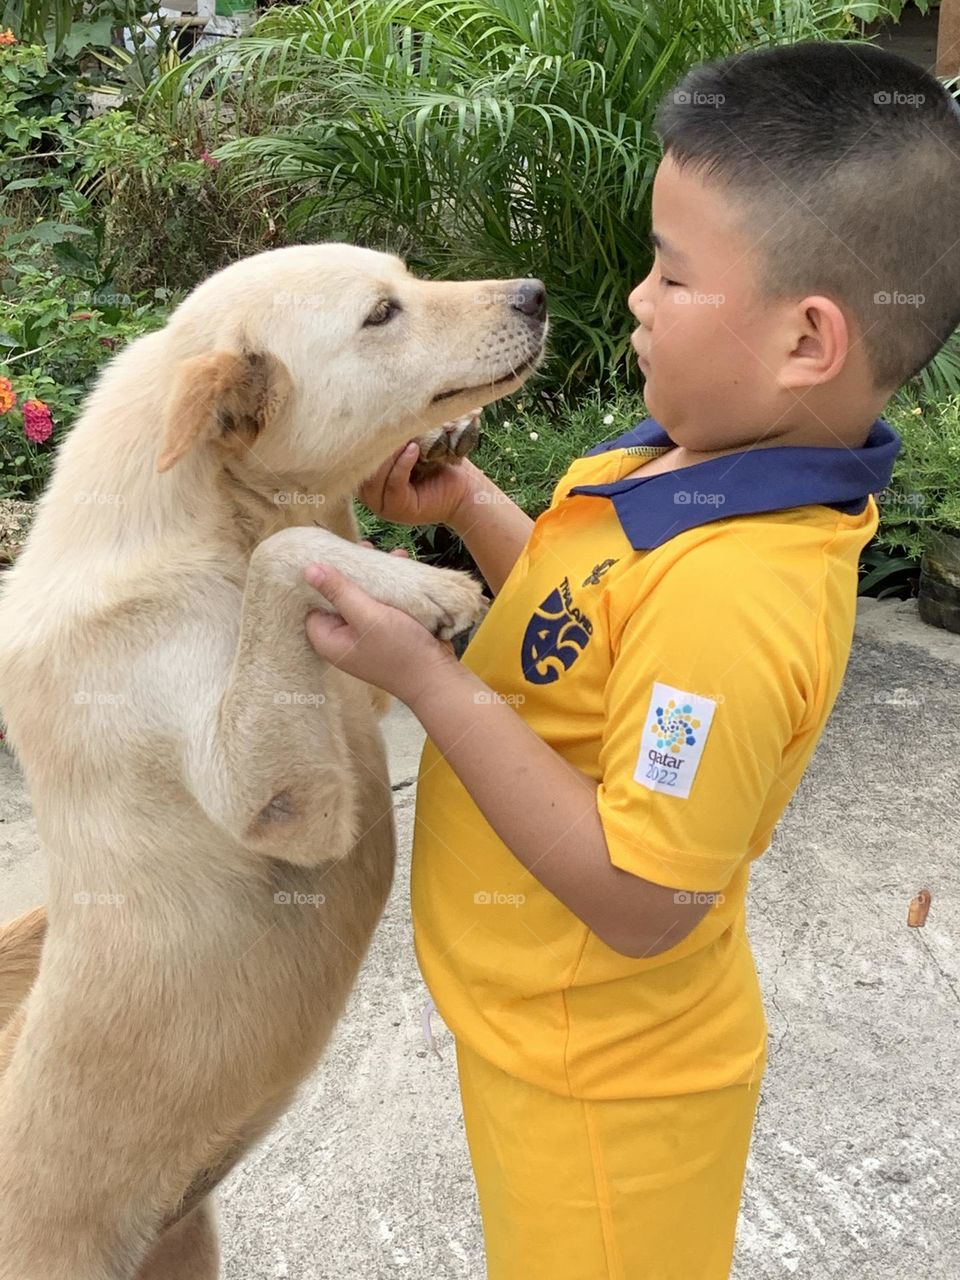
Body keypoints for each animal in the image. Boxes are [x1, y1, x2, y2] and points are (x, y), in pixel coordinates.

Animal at [0, 241, 547, 1280]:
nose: (537, 292)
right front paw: (426, 587)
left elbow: (304, 549)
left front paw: (438, 457)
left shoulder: (351, 711)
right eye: (381, 314)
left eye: (407, 276)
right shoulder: (287, 808)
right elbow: (288, 555)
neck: (209, 507)